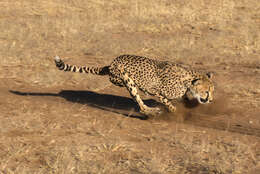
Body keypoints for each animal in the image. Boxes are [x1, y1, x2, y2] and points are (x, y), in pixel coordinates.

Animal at [53, 55, 214, 116]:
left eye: (212, 91)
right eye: (207, 91)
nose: (211, 100)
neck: (189, 80)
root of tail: (111, 63)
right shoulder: (154, 90)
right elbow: (167, 101)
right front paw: (174, 111)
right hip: (126, 79)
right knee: (139, 102)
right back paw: (151, 111)